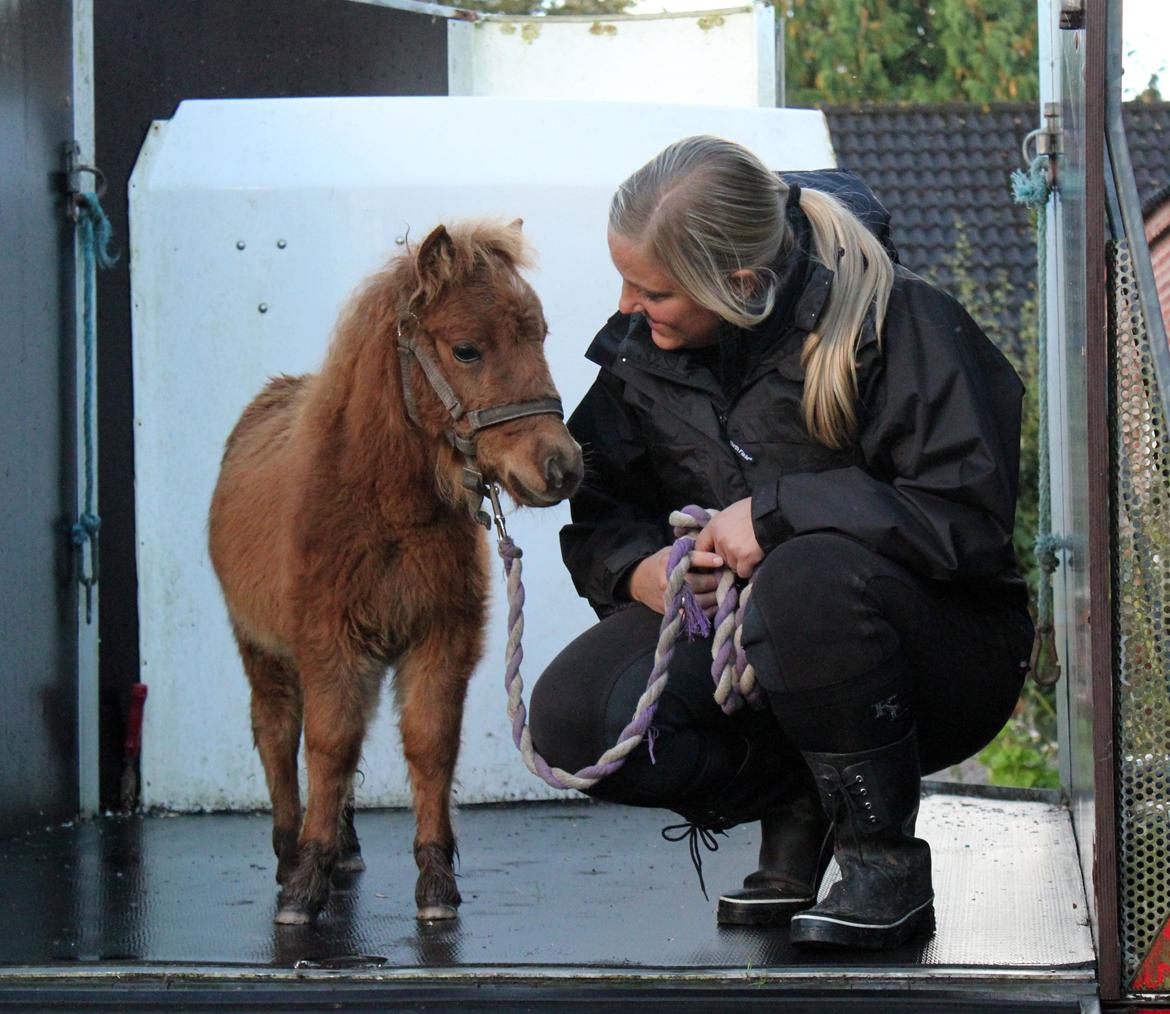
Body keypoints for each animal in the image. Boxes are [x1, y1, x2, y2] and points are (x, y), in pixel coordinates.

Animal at [208, 220, 583, 924]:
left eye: (540, 336)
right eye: (466, 350)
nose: (561, 467)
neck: (386, 510)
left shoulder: (439, 639)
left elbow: (428, 744)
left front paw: (435, 883)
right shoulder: (328, 640)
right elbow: (328, 746)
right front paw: (304, 882)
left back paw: (344, 848)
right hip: (263, 647)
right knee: (278, 732)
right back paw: (289, 850)